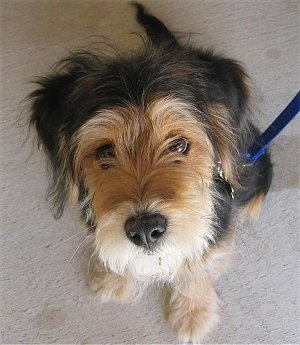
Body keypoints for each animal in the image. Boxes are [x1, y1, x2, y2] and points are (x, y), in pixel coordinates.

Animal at [29, 3, 274, 342]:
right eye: (105, 151)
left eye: (179, 144)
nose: (145, 229)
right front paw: (115, 279)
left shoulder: (212, 224)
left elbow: (197, 264)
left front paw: (193, 314)